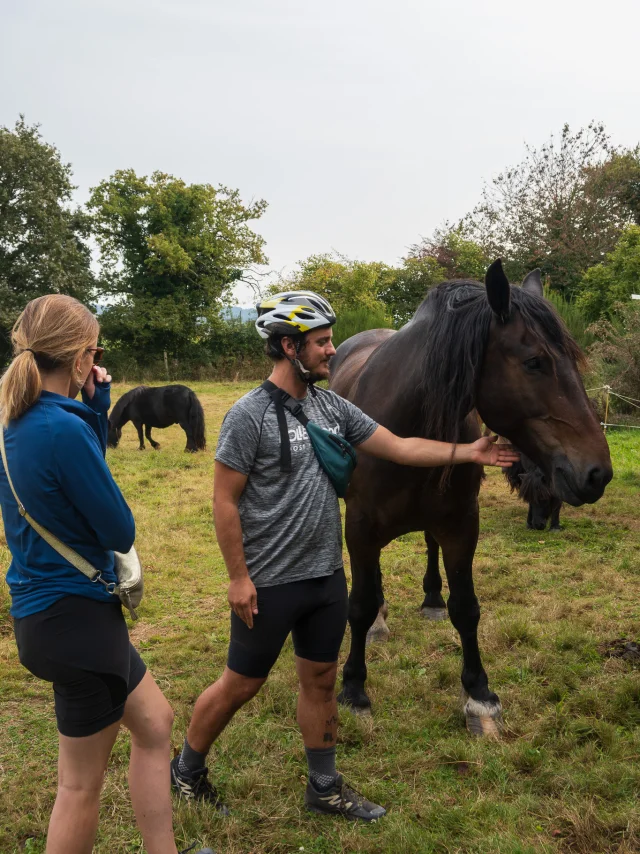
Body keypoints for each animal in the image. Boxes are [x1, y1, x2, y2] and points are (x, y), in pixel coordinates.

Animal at [328, 260, 612, 736]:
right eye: (534, 362)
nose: (597, 474)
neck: (404, 422)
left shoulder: (461, 525)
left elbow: (466, 608)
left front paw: (480, 696)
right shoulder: (361, 525)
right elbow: (360, 604)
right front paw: (353, 690)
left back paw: (430, 600)